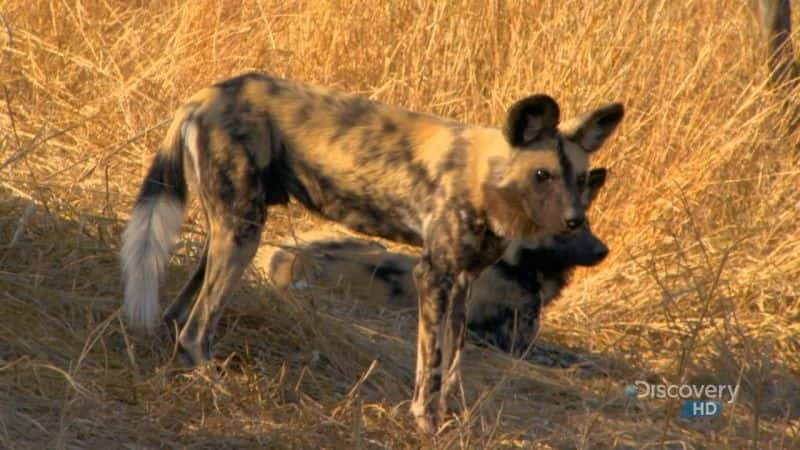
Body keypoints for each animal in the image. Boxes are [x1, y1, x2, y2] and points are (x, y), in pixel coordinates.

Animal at [260, 167, 608, 360]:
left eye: (586, 224)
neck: (518, 267)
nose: (603, 250)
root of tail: (280, 257)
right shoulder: (512, 345)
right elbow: (575, 360)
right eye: (568, 229)